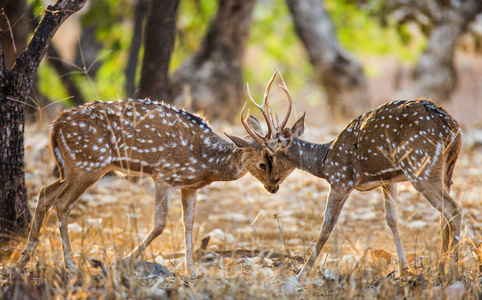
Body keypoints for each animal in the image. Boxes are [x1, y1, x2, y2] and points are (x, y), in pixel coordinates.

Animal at [17, 98, 296, 274]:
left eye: (277, 158)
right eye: (263, 163)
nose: (274, 187)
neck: (206, 162)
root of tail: (55, 126)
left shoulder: (189, 186)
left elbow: (188, 223)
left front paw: (192, 270)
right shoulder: (164, 175)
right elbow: (161, 223)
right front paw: (126, 259)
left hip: (74, 168)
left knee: (44, 194)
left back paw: (23, 258)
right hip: (88, 163)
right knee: (62, 203)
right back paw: (70, 264)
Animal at [235, 69, 462, 280]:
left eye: (269, 157)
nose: (270, 186)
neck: (325, 161)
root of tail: (450, 126)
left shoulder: (340, 180)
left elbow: (326, 227)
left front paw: (301, 274)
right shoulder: (388, 180)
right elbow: (392, 220)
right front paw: (404, 270)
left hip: (420, 166)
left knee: (454, 210)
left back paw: (453, 268)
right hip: (446, 169)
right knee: (444, 217)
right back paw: (442, 266)